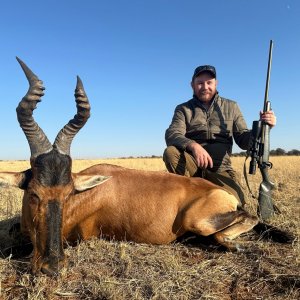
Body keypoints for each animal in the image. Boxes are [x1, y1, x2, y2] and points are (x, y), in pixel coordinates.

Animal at [0, 59, 292, 276]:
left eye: (69, 193)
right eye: (34, 193)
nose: (52, 267)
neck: (91, 193)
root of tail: (222, 191)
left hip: (199, 219)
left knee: (248, 219)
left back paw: (240, 245)